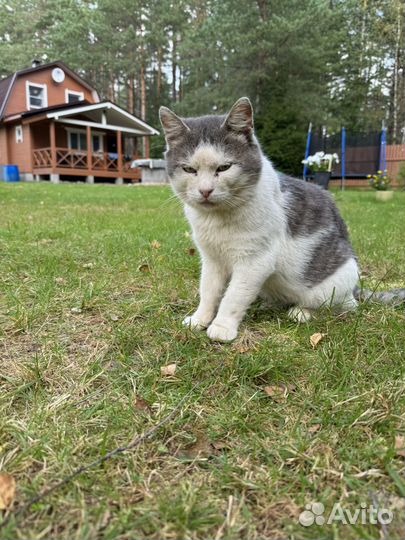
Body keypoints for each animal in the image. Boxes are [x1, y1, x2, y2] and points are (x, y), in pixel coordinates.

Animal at [159, 97, 404, 342]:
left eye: (224, 167)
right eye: (189, 169)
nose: (205, 190)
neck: (216, 219)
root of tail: (355, 287)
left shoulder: (255, 261)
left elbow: (234, 295)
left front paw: (221, 327)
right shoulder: (211, 259)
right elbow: (208, 291)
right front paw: (199, 320)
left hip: (333, 284)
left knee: (345, 307)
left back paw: (301, 312)